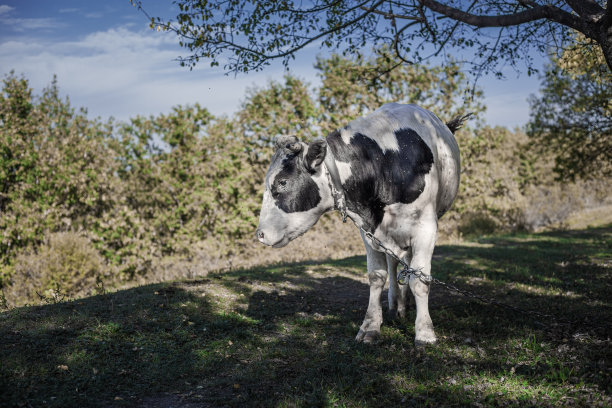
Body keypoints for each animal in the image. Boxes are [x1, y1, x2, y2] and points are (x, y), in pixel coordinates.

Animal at [255, 103, 464, 344]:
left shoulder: (426, 229)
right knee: (396, 265)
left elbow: (420, 280)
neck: (384, 164)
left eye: (282, 182)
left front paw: (425, 332)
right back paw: (398, 304)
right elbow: (376, 276)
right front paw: (370, 326)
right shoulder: (369, 231)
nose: (260, 234)